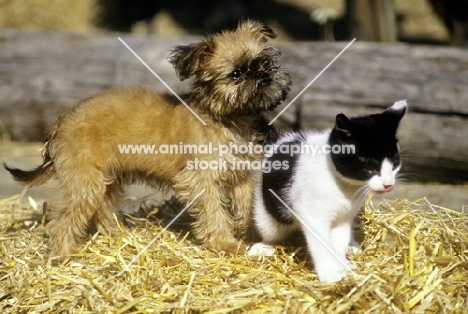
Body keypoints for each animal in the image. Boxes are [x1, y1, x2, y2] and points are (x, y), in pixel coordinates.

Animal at [3, 20, 290, 260]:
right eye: (236, 75)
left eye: (265, 63)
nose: (262, 75)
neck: (227, 118)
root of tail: (61, 121)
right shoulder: (201, 180)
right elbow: (213, 213)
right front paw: (225, 244)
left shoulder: (242, 177)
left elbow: (248, 206)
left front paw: (255, 235)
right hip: (85, 182)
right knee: (63, 219)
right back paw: (63, 255)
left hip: (105, 179)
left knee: (100, 208)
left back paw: (114, 234)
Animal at [249, 100, 406, 282]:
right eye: (370, 168)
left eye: (394, 165)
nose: (388, 184)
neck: (343, 185)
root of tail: (281, 140)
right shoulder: (313, 216)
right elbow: (322, 245)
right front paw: (330, 274)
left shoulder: (343, 217)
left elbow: (338, 240)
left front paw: (342, 265)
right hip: (267, 209)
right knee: (271, 229)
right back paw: (265, 246)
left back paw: (352, 246)